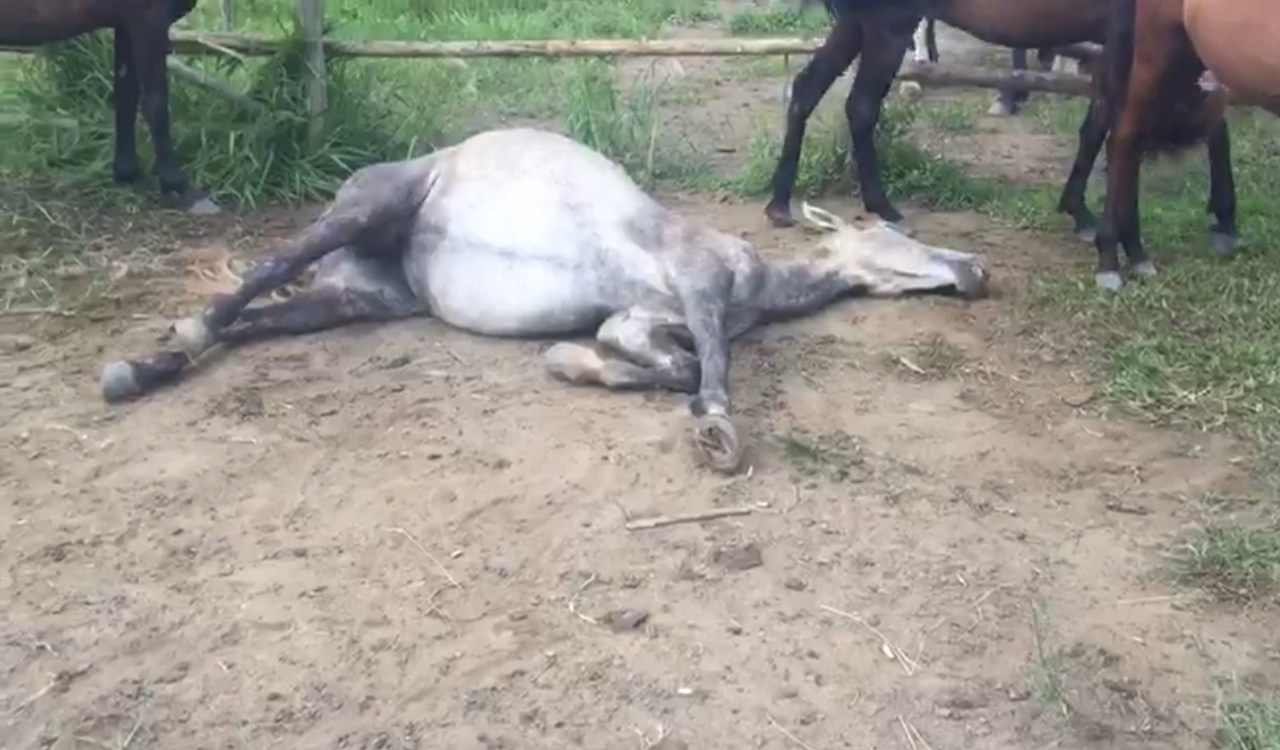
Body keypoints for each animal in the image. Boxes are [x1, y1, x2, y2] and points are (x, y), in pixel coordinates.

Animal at [0, 1, 217, 211]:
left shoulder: (124, 24)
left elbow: (126, 97)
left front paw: (128, 175)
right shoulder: (148, 17)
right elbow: (156, 104)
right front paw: (181, 188)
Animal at [102, 126, 988, 470]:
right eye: (896, 234)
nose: (978, 270)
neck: (756, 282)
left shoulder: (636, 320)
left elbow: (662, 364)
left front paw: (570, 362)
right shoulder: (697, 282)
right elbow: (710, 373)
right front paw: (716, 431)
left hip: (360, 300)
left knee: (262, 317)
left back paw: (146, 368)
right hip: (367, 209)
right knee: (260, 272)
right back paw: (179, 336)